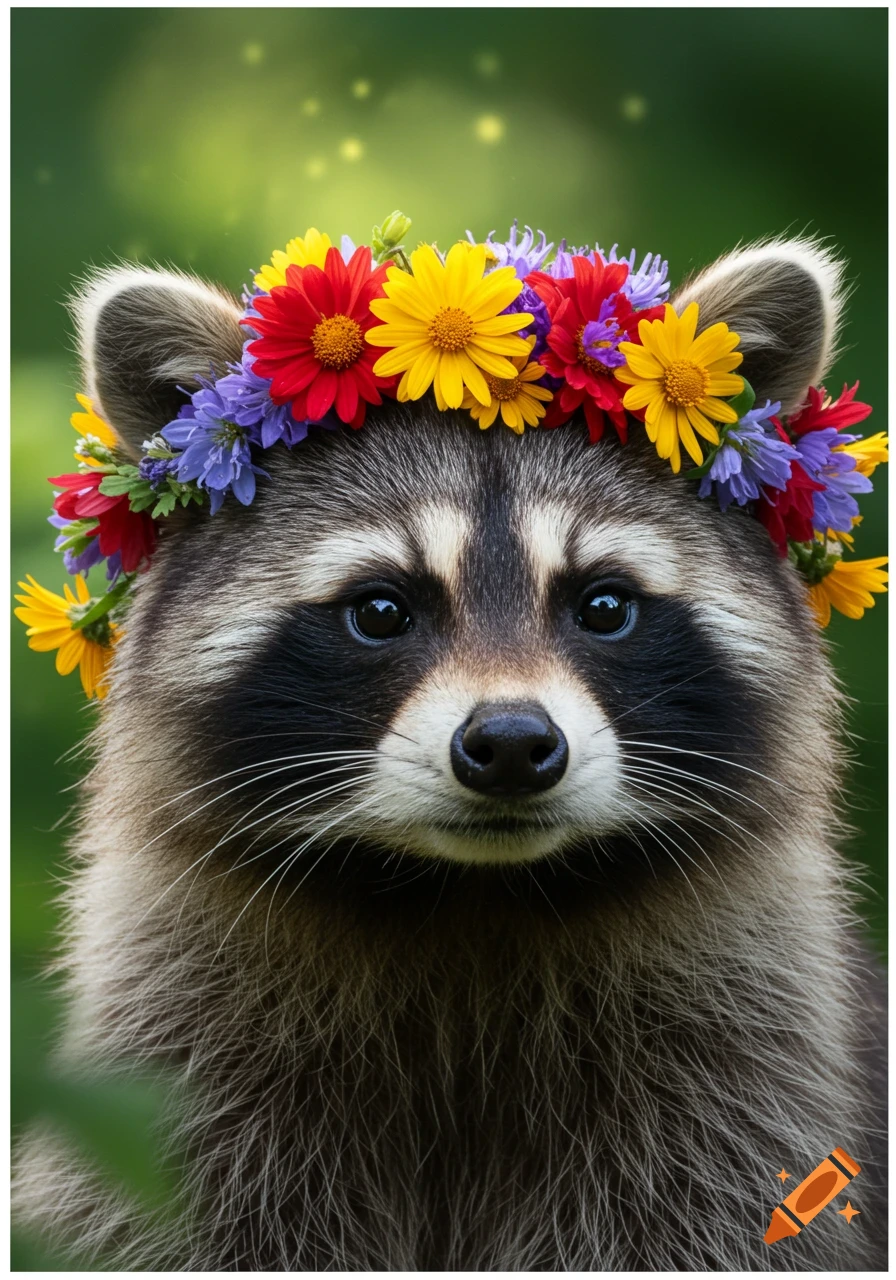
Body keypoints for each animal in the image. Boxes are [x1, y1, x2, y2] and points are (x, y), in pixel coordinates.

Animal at [13, 238, 887, 1270]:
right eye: (381, 610)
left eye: (604, 606)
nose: (510, 746)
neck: (470, 896)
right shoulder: (188, 1065)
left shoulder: (736, 1087)